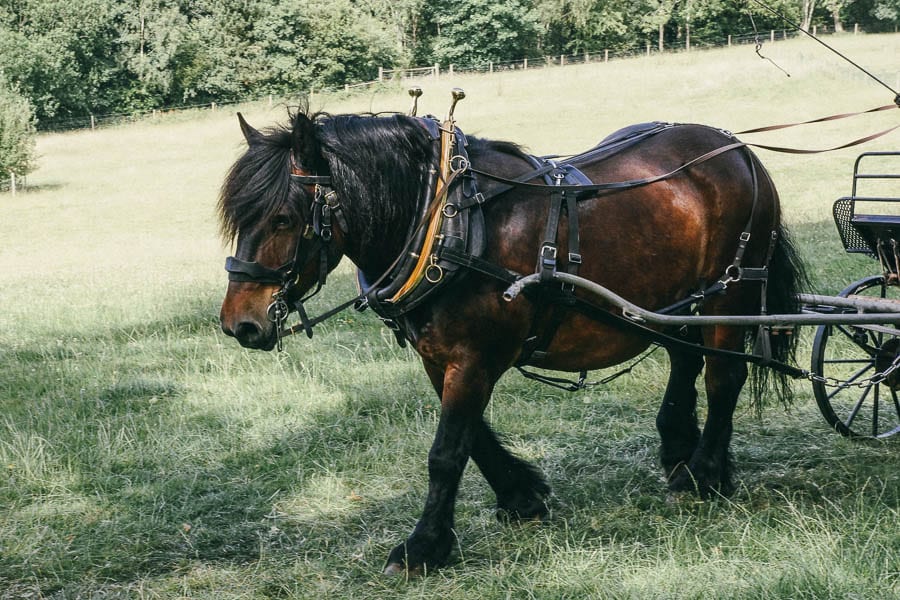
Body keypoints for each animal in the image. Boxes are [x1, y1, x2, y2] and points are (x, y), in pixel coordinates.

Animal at [220, 110, 808, 576]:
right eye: (238, 218)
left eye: (284, 218)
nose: (238, 324)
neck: (448, 219)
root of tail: (736, 147)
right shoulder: (441, 357)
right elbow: (473, 437)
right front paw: (521, 495)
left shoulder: (474, 358)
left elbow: (446, 451)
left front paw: (424, 547)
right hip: (675, 299)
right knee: (686, 359)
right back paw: (681, 452)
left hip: (732, 288)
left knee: (723, 375)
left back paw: (705, 473)